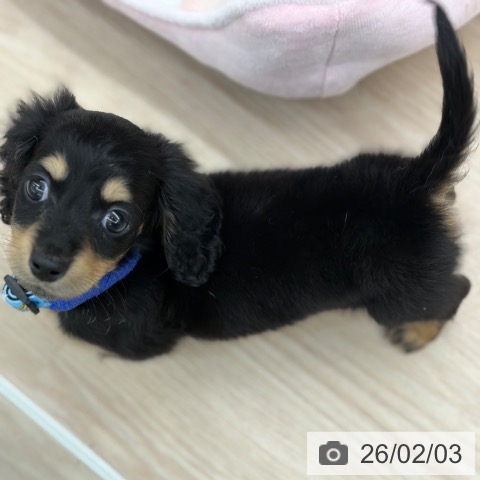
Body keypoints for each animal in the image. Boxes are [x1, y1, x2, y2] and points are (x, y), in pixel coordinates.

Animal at [0, 5, 475, 360]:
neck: (123, 269)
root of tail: (417, 180)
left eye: (117, 220)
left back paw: (417, 333)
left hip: (399, 295)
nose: (45, 265)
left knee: (456, 290)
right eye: (36, 186)